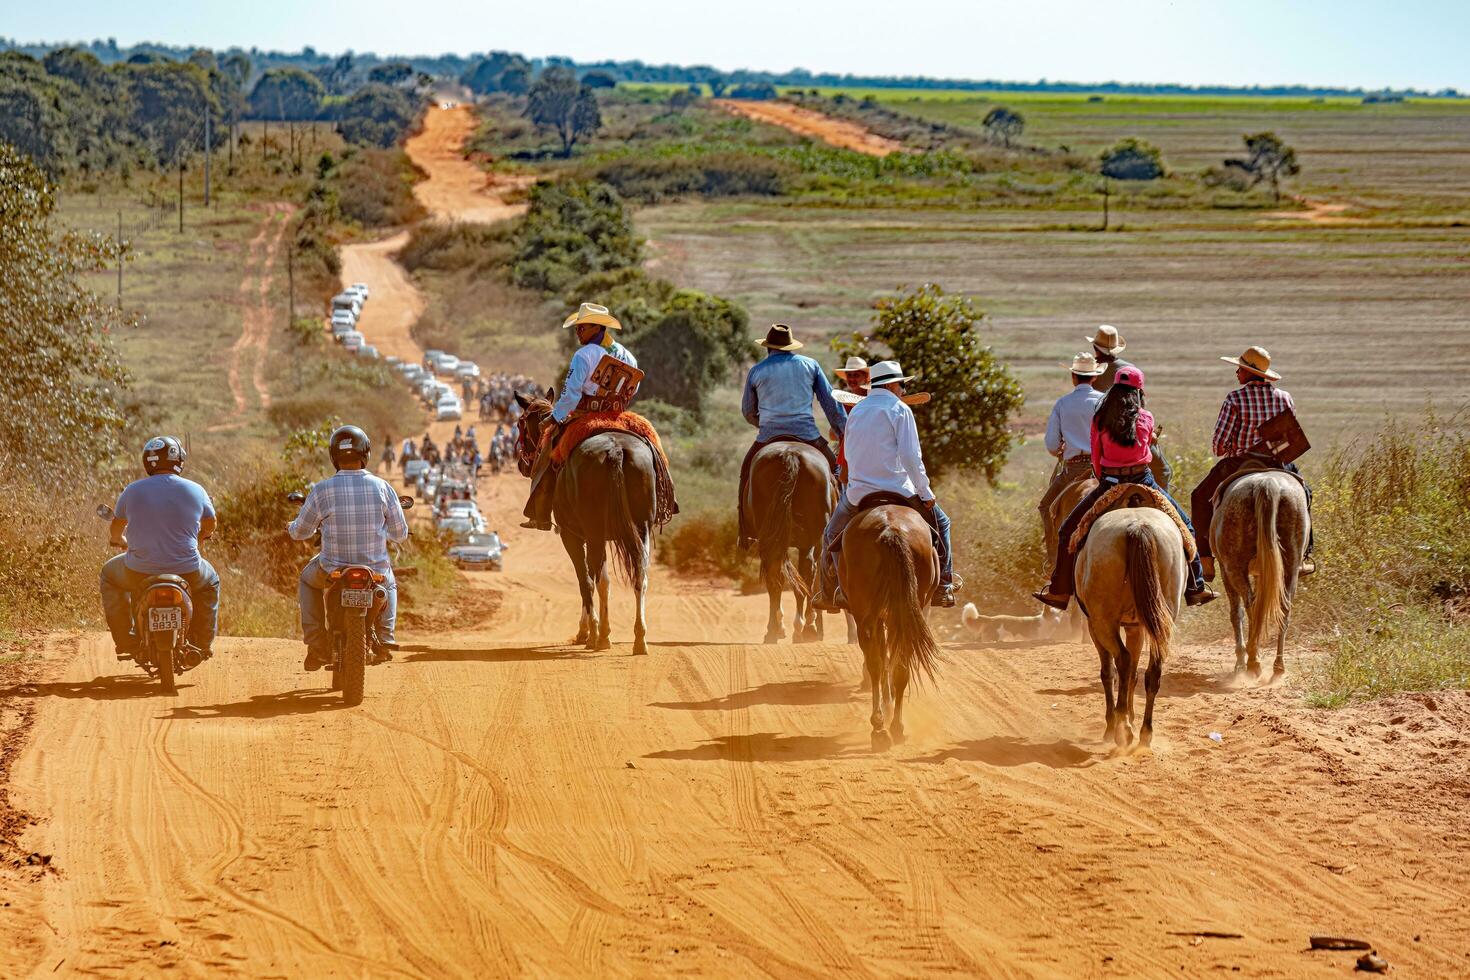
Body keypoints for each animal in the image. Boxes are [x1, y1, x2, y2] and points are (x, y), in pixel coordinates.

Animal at [517, 387, 655, 655]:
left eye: (520, 423)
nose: (521, 463)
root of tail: (615, 451)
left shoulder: (573, 536)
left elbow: (586, 581)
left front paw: (588, 631)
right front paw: (595, 629)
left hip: (593, 532)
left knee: (596, 581)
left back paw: (600, 638)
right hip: (640, 528)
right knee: (640, 577)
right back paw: (640, 638)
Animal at [752, 443, 834, 643]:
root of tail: (791, 453)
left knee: (776, 577)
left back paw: (775, 630)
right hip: (809, 541)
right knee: (806, 574)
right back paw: (806, 627)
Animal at [840, 505, 940, 752]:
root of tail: (891, 529)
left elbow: (884, 659)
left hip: (869, 615)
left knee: (877, 664)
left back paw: (880, 727)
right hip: (903, 613)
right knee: (899, 666)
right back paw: (893, 727)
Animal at [1076, 505, 1187, 752]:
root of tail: (1138, 527)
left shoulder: (1093, 625)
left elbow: (1109, 672)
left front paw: (1113, 724)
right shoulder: (1136, 627)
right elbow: (1134, 675)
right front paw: (1131, 718)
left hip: (1103, 621)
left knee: (1123, 661)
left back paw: (1122, 730)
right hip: (1162, 618)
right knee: (1152, 670)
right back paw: (1145, 733)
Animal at [1205, 470, 1311, 678]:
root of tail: (1267, 484)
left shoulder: (1225, 569)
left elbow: (1236, 613)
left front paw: (1240, 660)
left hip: (1234, 568)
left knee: (1250, 606)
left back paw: (1253, 662)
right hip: (1291, 565)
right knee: (1283, 607)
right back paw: (1277, 667)